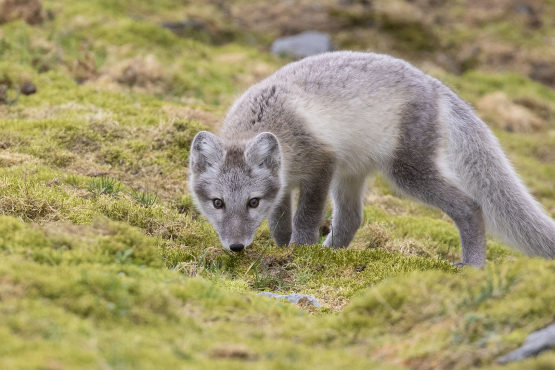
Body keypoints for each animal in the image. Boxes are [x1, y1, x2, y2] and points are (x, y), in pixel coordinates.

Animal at [190, 51, 555, 266]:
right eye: (218, 203)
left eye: (252, 202)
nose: (236, 247)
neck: (274, 122)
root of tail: (435, 84)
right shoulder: (284, 184)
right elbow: (280, 223)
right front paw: (282, 249)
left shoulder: (322, 163)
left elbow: (305, 218)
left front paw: (301, 252)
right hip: (350, 173)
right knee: (351, 219)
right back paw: (332, 253)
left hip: (406, 170)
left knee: (470, 206)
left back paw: (472, 265)